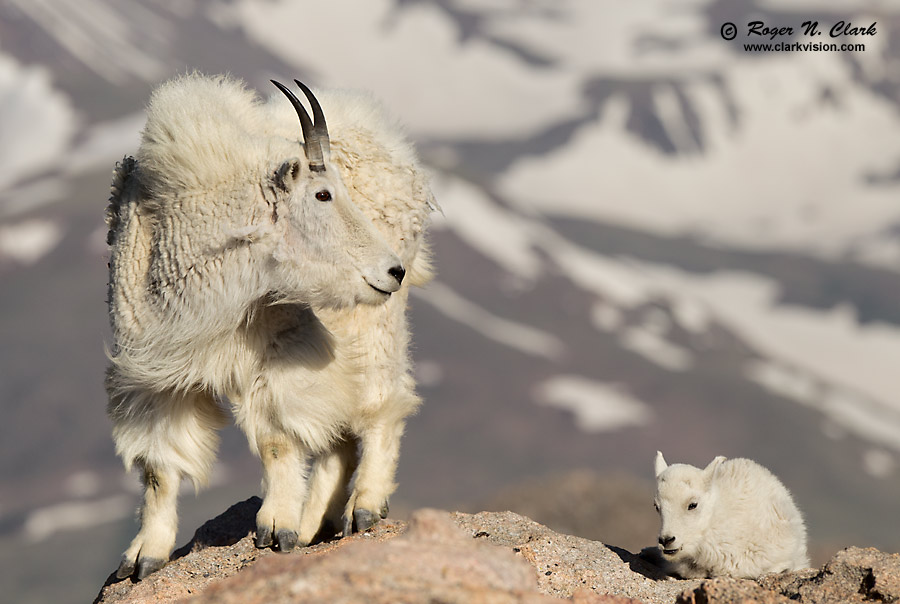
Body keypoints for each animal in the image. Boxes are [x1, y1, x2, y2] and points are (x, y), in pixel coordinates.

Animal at [105, 75, 436, 580]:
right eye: (323, 194)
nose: (392, 269)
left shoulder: (283, 352)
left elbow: (279, 440)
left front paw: (277, 526)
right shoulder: (152, 376)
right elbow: (160, 470)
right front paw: (144, 555)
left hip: (372, 322)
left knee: (382, 403)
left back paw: (361, 506)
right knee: (338, 440)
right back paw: (315, 521)